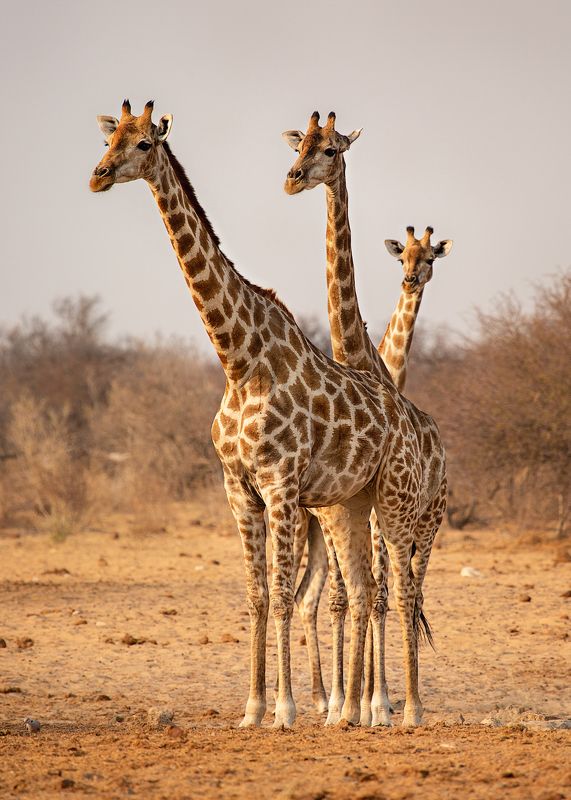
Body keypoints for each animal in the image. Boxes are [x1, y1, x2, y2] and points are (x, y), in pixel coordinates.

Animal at [90, 100, 431, 728]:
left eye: (145, 142)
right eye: (109, 139)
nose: (98, 175)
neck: (238, 358)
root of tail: (404, 412)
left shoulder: (279, 485)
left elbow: (281, 595)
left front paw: (287, 708)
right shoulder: (237, 487)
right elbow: (256, 594)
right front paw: (252, 708)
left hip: (396, 500)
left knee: (400, 588)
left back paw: (407, 710)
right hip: (352, 504)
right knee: (364, 590)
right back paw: (351, 713)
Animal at [283, 111, 449, 726]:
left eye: (332, 148)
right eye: (301, 144)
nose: (295, 178)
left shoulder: (378, 515)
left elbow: (376, 593)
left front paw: (375, 703)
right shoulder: (344, 512)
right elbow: (348, 596)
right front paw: (347, 704)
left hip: (428, 522)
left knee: (409, 591)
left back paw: (402, 702)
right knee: (328, 596)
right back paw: (333, 697)